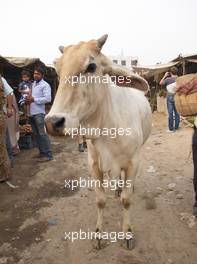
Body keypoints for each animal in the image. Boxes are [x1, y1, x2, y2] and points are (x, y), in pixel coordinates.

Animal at [45, 35, 152, 250]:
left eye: (91, 66)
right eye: (58, 69)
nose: (53, 122)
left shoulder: (133, 162)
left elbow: (127, 200)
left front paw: (127, 233)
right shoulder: (94, 164)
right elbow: (100, 200)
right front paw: (98, 235)